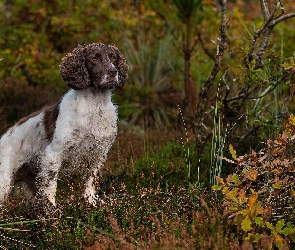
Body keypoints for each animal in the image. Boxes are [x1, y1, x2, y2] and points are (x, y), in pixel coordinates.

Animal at [0, 43, 128, 205]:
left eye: (113, 57)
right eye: (94, 58)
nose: (113, 72)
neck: (94, 106)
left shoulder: (98, 154)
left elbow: (90, 180)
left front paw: (91, 201)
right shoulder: (53, 154)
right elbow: (50, 185)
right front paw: (52, 208)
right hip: (4, 180)